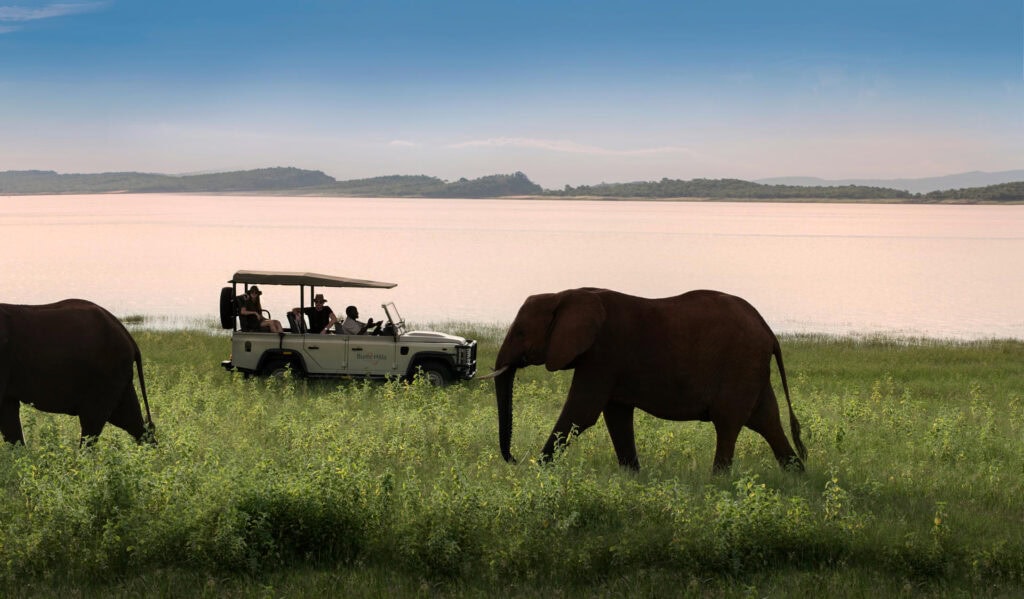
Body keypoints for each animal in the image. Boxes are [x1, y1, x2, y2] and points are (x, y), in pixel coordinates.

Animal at [485, 288, 806, 473]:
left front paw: (537, 470)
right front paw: (632, 476)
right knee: (767, 421)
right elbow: (615, 416)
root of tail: (768, 330)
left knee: (728, 423)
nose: (515, 460)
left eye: (521, 332)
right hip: (752, 369)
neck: (565, 293)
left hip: (740, 364)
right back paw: (796, 474)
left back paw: (718, 480)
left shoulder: (603, 353)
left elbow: (581, 412)